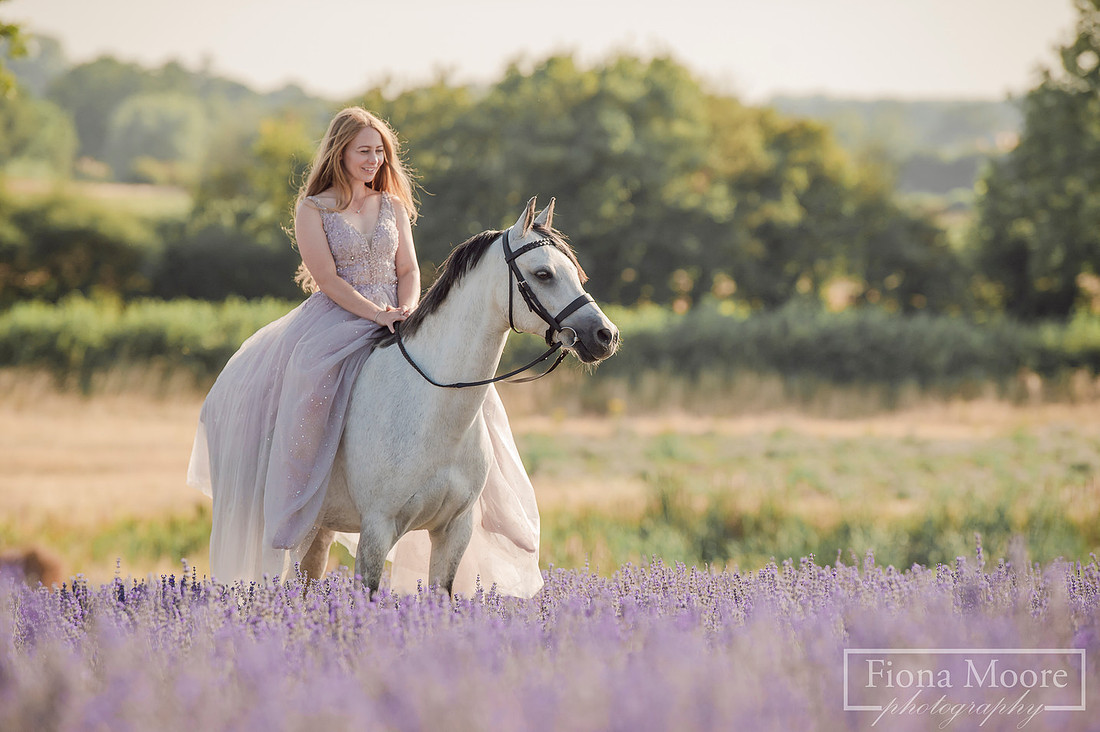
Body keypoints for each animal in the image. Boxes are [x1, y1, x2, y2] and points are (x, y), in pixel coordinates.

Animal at [299, 197, 619, 595]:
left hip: (319, 528)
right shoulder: (377, 530)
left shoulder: (452, 532)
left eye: (575, 273)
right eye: (544, 274)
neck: (432, 412)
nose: (606, 335)